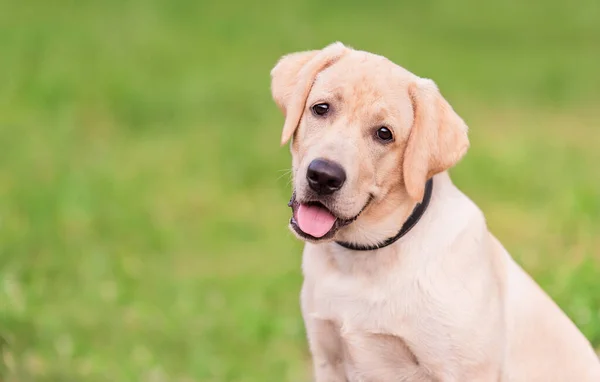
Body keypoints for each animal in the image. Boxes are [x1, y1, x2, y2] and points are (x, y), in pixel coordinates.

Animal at [270, 42, 600, 382]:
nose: (323, 176)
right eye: (321, 108)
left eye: (384, 134)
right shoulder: (328, 359)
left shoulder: (464, 371)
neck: (365, 261)